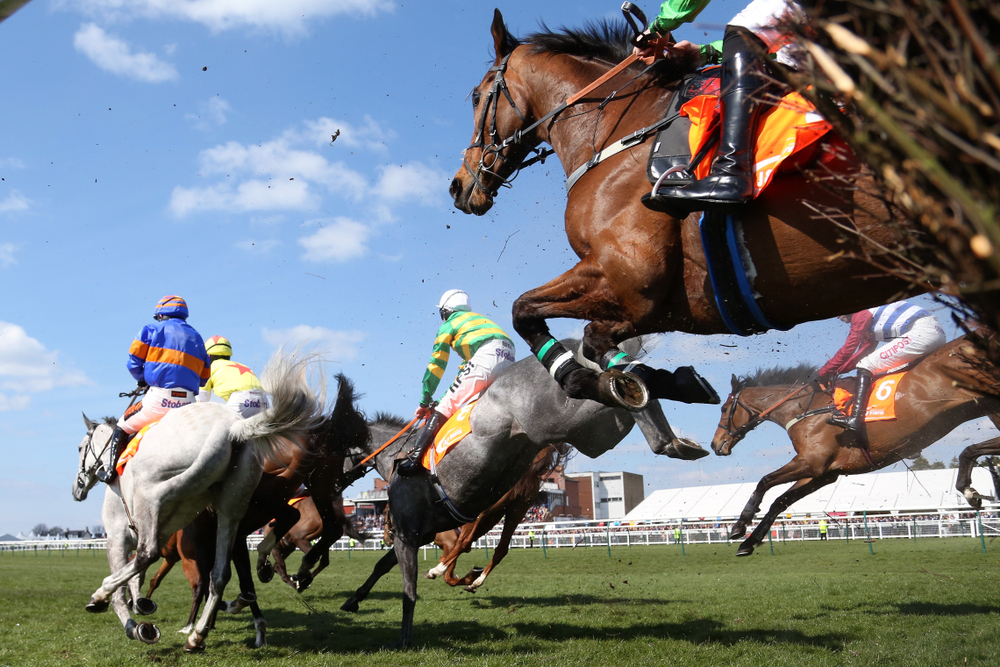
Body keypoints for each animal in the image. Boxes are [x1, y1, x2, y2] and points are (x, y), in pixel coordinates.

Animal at [71, 354, 328, 652]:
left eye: (80, 448)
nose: (77, 489)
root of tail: (230, 429)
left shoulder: (118, 536)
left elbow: (125, 586)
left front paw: (124, 617)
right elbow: (140, 577)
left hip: (159, 495)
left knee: (151, 553)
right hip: (231, 510)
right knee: (221, 574)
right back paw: (201, 633)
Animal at [336, 340, 704, 648]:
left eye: (333, 449)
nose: (335, 485)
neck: (399, 456)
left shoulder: (410, 535)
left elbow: (408, 583)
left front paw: (405, 635)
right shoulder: (419, 534)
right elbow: (383, 566)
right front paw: (352, 600)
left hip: (563, 420)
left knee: (606, 387)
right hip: (587, 438)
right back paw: (676, 419)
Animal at [450, 10, 916, 414]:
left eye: (475, 96)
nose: (458, 186)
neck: (618, 132)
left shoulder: (630, 280)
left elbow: (534, 315)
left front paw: (590, 381)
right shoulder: (665, 303)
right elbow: (582, 335)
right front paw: (669, 381)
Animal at [708, 334, 996, 560]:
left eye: (724, 408)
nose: (715, 444)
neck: (807, 409)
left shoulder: (811, 462)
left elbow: (764, 481)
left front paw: (739, 526)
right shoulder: (824, 473)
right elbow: (780, 501)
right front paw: (748, 541)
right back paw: (969, 487)